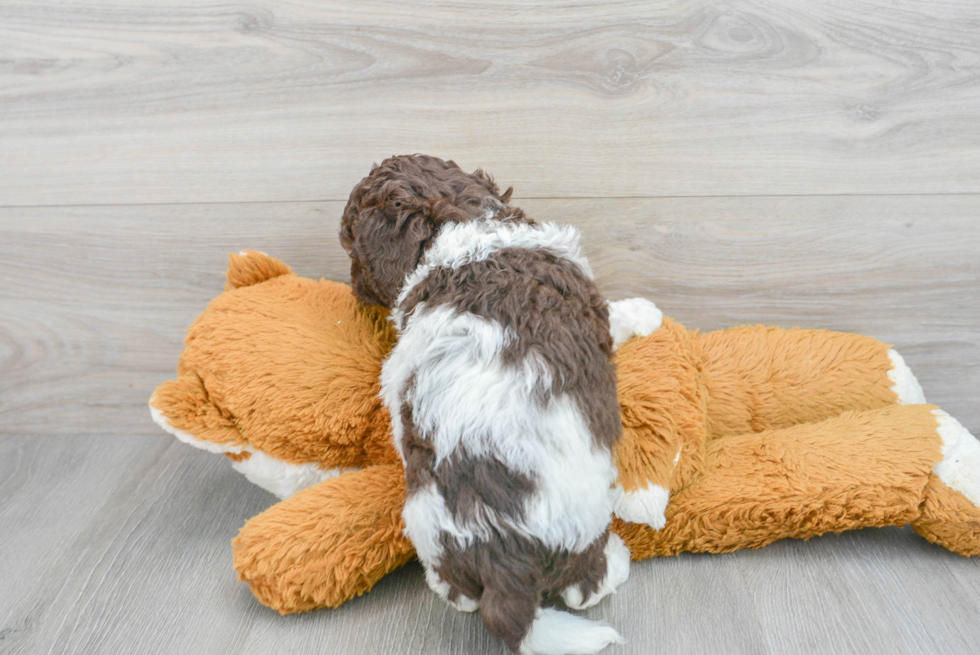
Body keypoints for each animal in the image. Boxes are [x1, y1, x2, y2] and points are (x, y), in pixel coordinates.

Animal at [338, 155, 628, 655]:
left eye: (351, 243)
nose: (354, 288)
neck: (463, 223)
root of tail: (509, 557)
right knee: (583, 586)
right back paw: (617, 560)